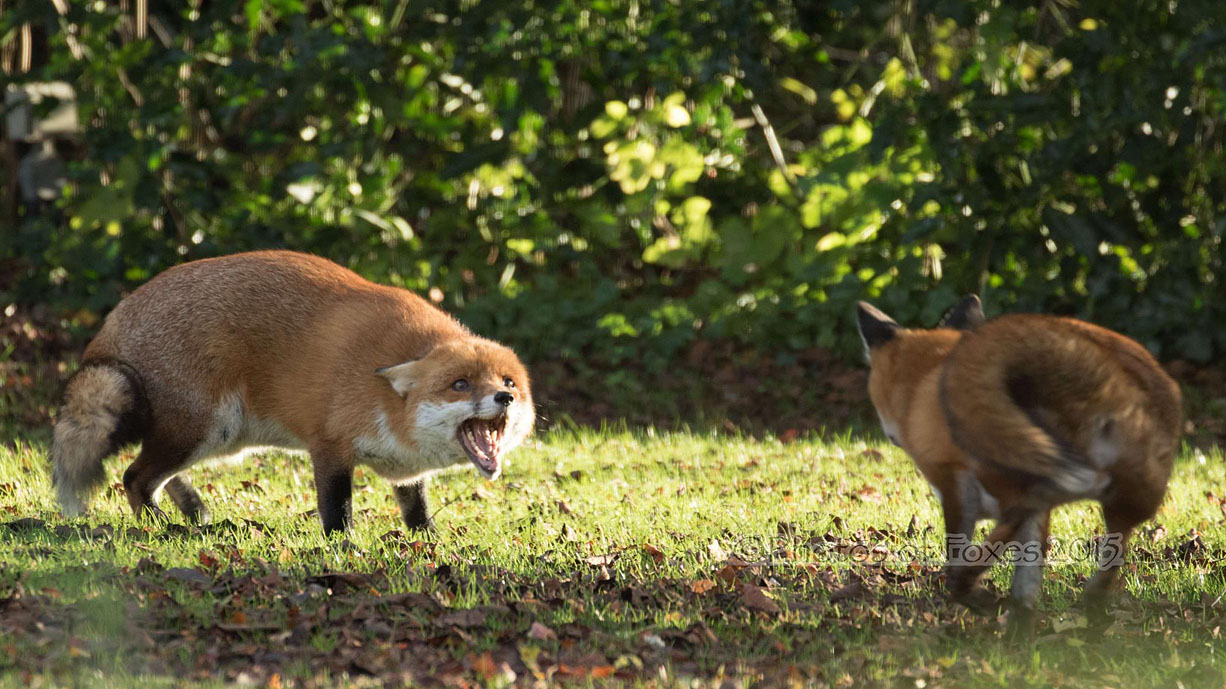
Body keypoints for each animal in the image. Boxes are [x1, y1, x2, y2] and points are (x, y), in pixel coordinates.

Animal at [50, 248, 534, 534]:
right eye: (460, 384)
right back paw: (168, 529)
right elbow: (337, 508)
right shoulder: (330, 445)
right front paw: (344, 547)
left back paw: (195, 514)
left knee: (155, 475)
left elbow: (416, 506)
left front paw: (426, 540)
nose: (504, 399)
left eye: (508, 382)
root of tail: (112, 322)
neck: (387, 402)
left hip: (214, 438)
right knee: (134, 478)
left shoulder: (405, 469)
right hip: (202, 429)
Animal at [858, 295, 1181, 627]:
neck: (923, 386)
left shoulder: (952, 477)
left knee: (1026, 505)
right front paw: (1020, 625)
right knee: (1112, 550)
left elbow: (958, 553)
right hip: (1132, 497)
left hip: (1008, 463)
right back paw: (1089, 610)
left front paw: (977, 595)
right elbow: (1026, 582)